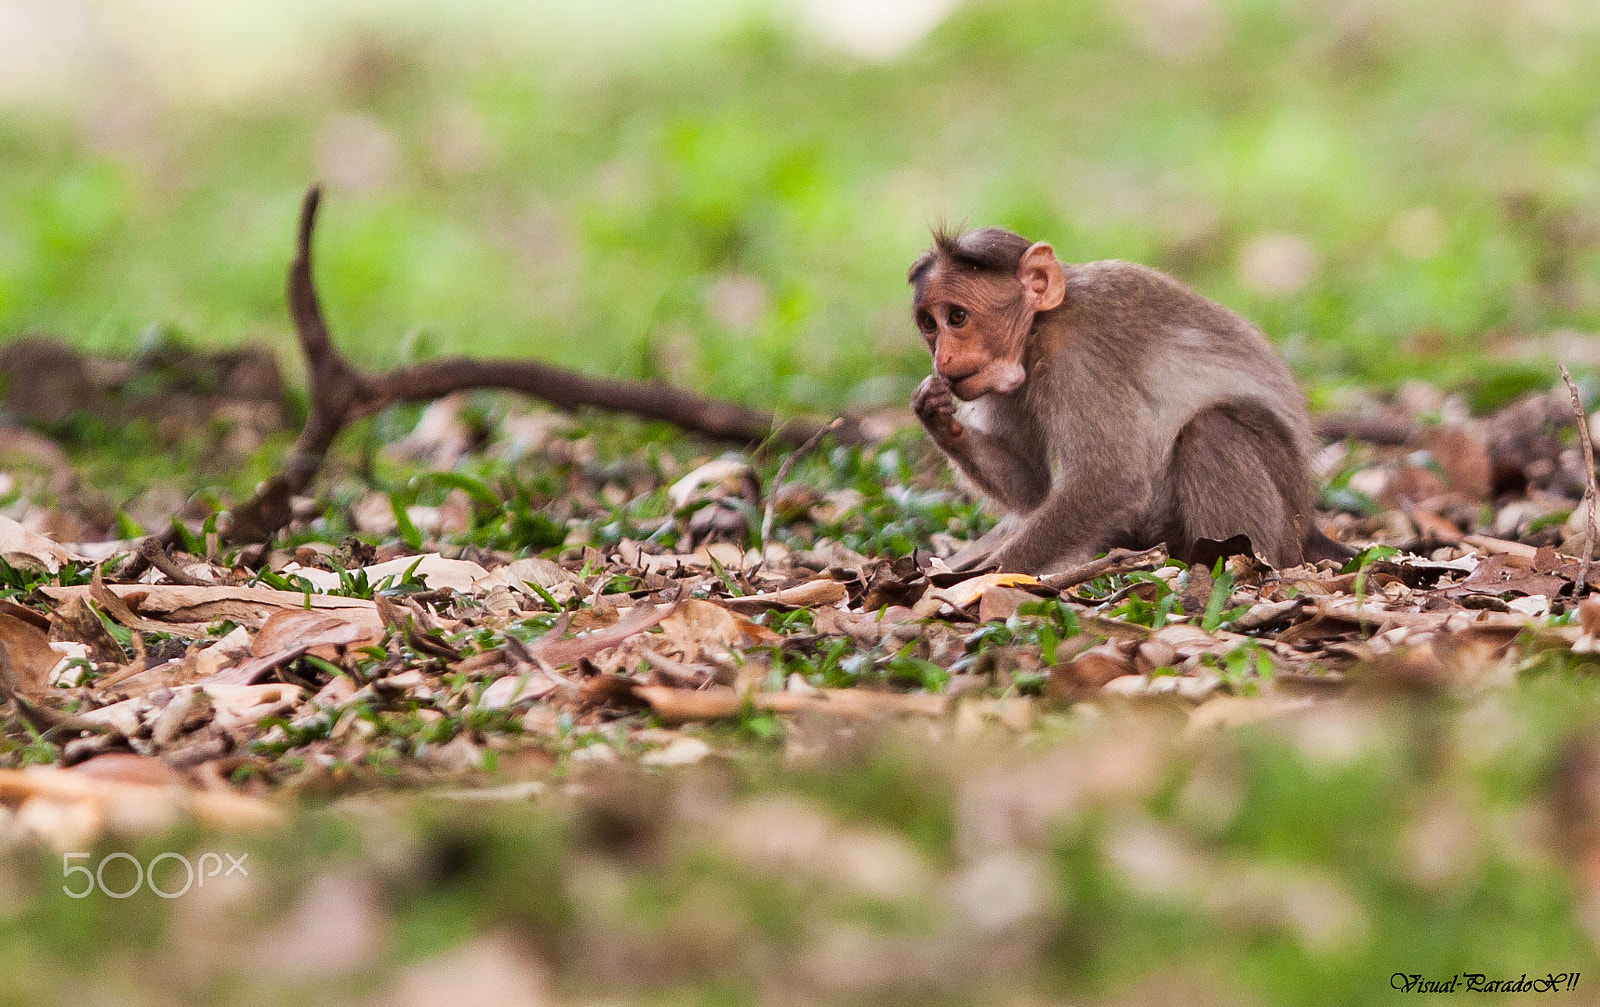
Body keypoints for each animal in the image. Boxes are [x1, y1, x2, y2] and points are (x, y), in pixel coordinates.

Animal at [908, 227, 1344, 573]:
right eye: (929, 323)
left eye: (957, 317)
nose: (943, 358)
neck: (1039, 326)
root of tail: (1308, 528)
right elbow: (1032, 485)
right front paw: (936, 414)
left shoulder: (1076, 354)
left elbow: (1110, 481)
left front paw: (982, 579)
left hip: (1283, 522)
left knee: (1212, 429)